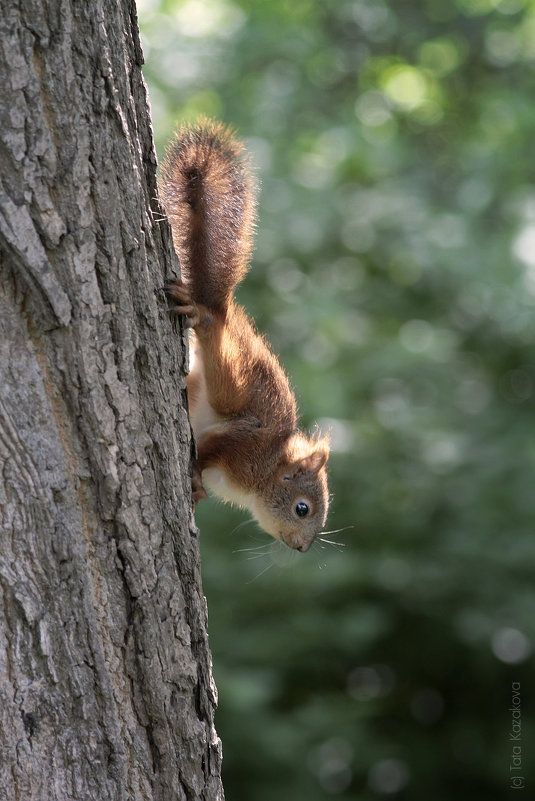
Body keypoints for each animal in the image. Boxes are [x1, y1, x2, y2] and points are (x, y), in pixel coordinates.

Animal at [161, 120, 330, 552]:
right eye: (302, 509)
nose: (302, 548)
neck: (267, 471)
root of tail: (224, 311)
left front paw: (199, 492)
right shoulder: (243, 445)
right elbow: (208, 451)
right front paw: (196, 479)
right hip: (230, 377)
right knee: (209, 332)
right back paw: (200, 314)